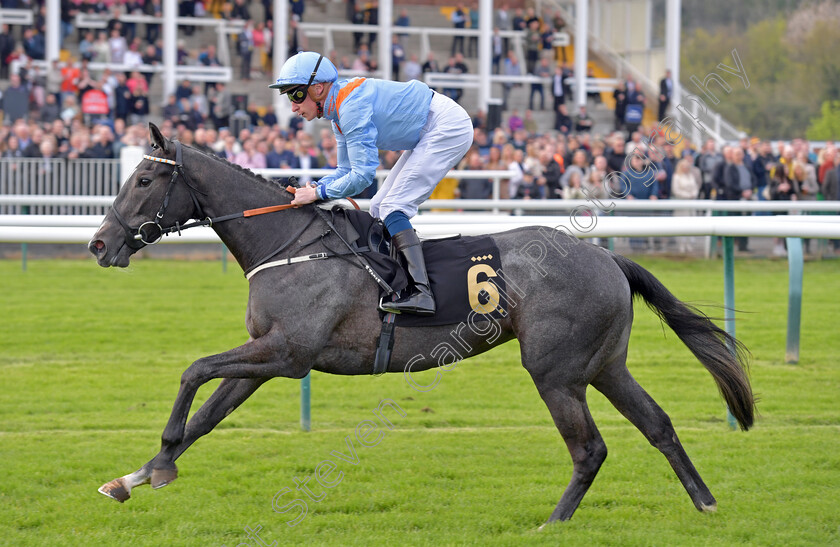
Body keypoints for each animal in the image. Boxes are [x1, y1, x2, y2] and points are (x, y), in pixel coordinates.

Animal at [87, 124, 756, 528]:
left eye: (144, 179)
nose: (98, 244)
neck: (290, 243)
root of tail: (608, 257)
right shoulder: (266, 354)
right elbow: (205, 414)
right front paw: (137, 475)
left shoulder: (288, 353)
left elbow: (192, 370)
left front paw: (156, 466)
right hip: (605, 364)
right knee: (658, 425)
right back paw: (707, 504)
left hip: (556, 370)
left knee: (590, 448)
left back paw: (552, 524)